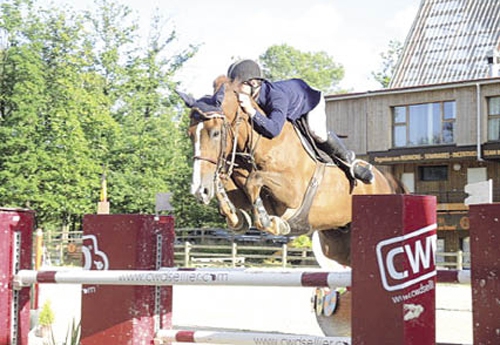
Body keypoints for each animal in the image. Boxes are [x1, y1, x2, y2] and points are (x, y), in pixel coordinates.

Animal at [178, 74, 404, 264]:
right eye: (190, 134)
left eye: (215, 133)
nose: (198, 191)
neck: (264, 144)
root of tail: (387, 181)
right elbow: (229, 186)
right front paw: (234, 217)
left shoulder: (293, 192)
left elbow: (254, 180)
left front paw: (270, 222)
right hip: (339, 241)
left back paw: (360, 170)